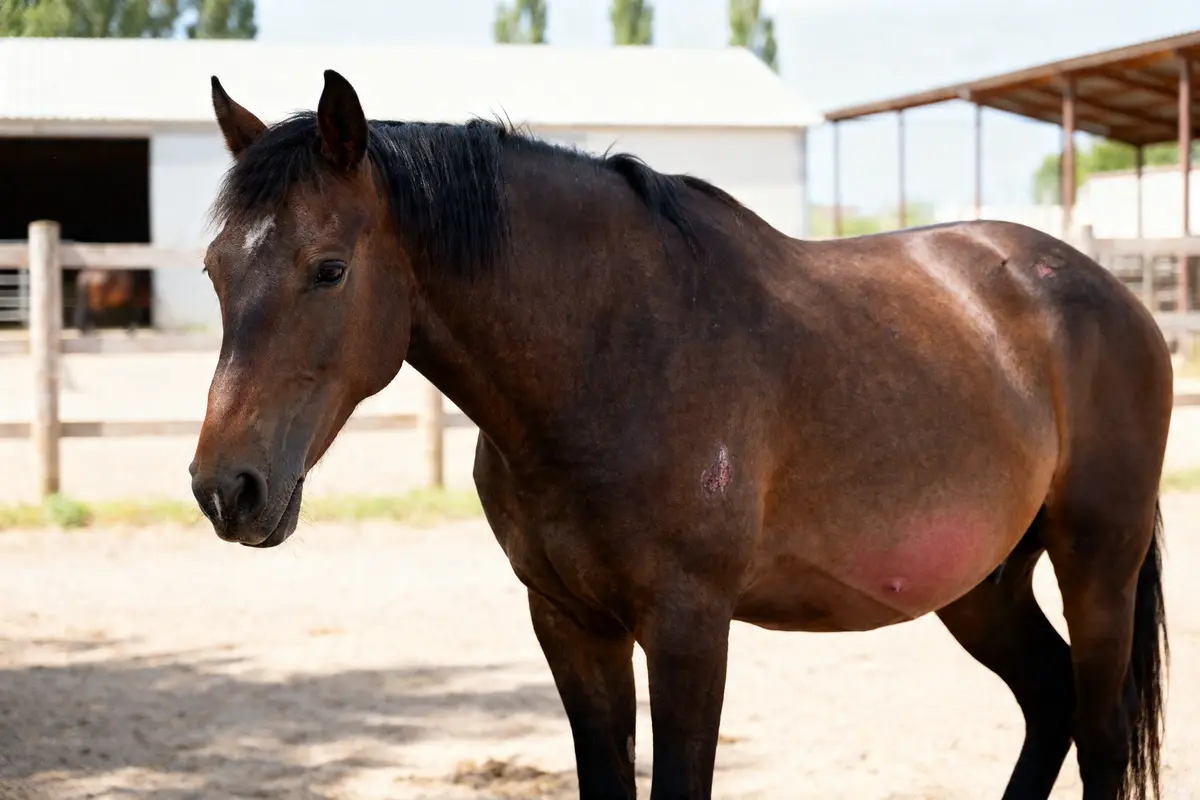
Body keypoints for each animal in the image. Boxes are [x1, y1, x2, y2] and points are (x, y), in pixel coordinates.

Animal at [189, 71, 1172, 800]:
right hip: (980, 585)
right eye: (213, 268)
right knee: (1049, 703)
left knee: (1097, 729)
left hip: (1097, 562)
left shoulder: (690, 627)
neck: (612, 353)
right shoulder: (570, 624)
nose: (225, 488)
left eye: (329, 269)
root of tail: (1108, 293)